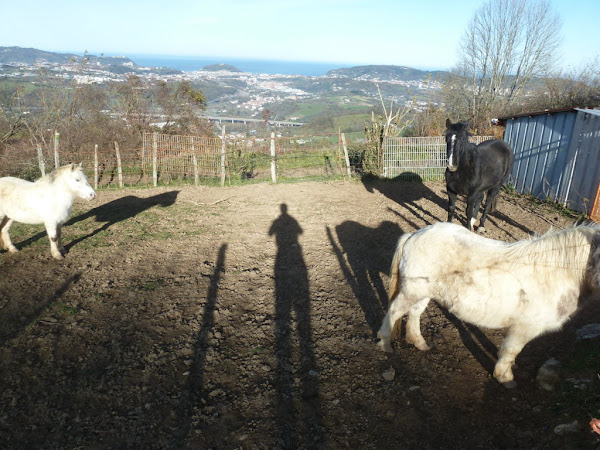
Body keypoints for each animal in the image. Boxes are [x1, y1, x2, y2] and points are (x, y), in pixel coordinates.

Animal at [380, 221, 600, 386]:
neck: (556, 271)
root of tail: (413, 235)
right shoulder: (525, 326)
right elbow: (511, 350)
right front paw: (505, 377)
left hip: (423, 292)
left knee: (415, 313)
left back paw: (418, 342)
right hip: (412, 291)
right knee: (394, 311)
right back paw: (385, 344)